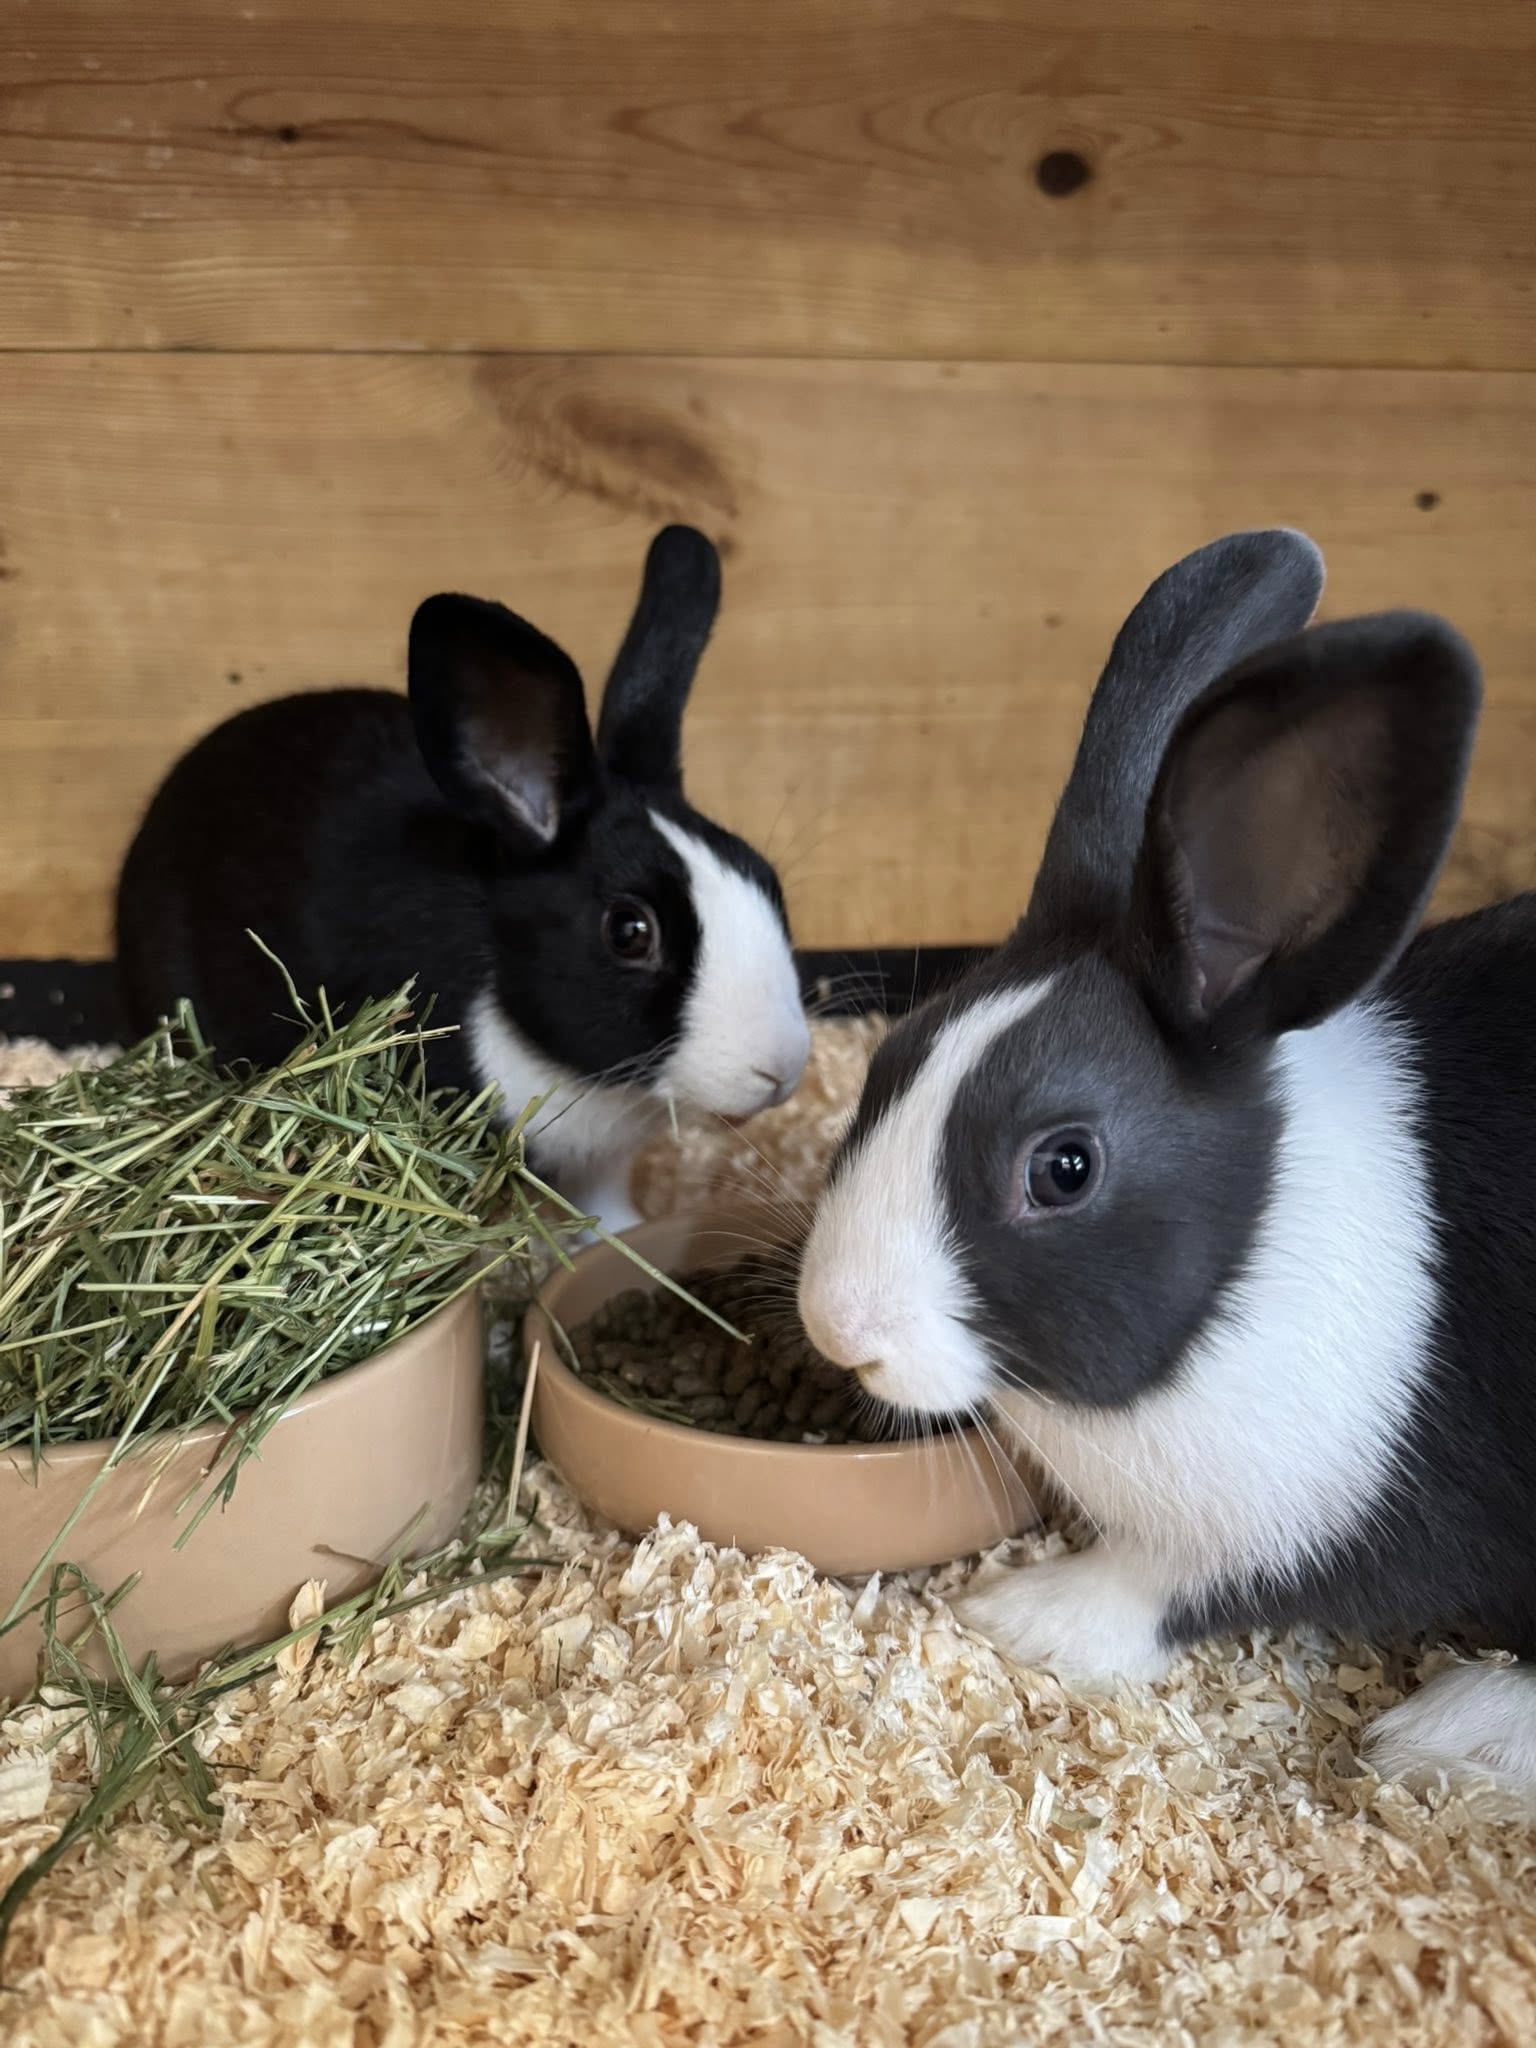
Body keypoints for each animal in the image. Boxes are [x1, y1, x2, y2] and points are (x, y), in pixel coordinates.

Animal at [798, 526, 1536, 1810]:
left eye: (1065, 1166)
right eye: (890, 1056)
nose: (837, 1325)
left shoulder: (1302, 1524)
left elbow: (1167, 1586)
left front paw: (1019, 1610)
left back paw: (1449, 1732)